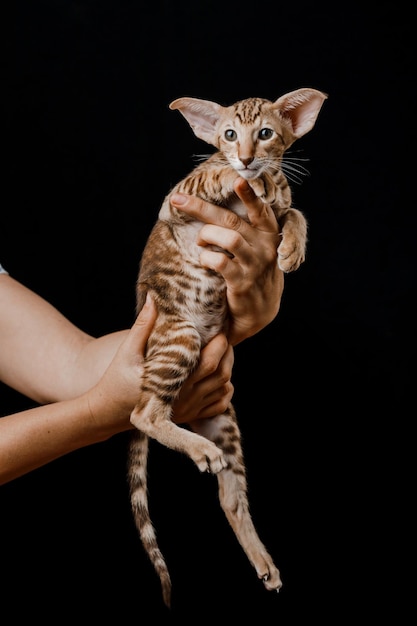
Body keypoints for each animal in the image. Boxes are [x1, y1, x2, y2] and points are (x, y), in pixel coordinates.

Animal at [125, 88, 326, 604]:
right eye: (229, 135)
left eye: (266, 133)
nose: (249, 158)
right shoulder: (176, 200)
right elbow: (212, 175)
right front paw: (238, 178)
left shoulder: (279, 205)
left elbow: (294, 210)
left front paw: (291, 247)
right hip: (179, 337)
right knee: (143, 413)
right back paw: (197, 449)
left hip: (224, 419)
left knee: (230, 496)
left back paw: (262, 560)